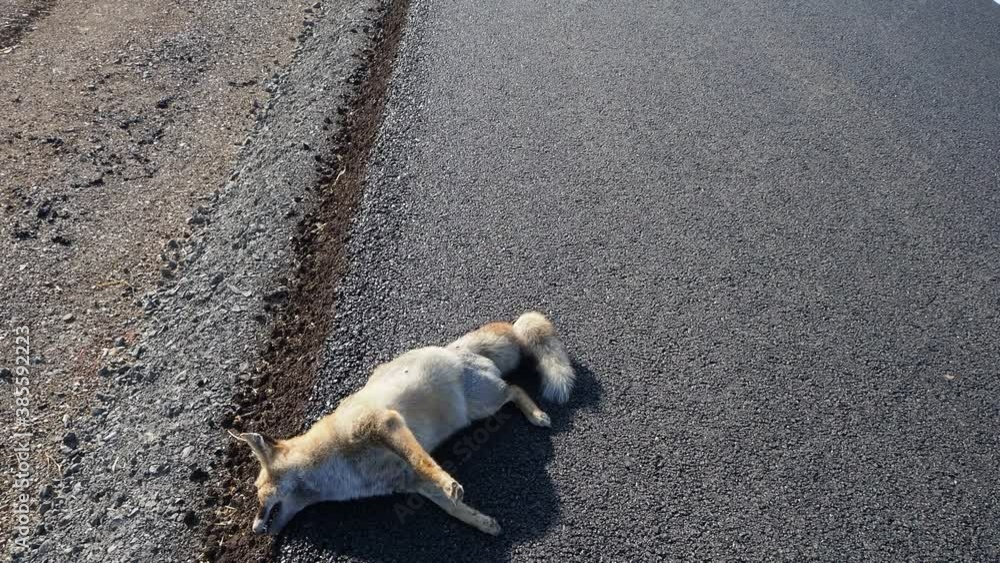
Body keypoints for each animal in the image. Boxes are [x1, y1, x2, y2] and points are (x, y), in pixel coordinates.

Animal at [230, 311, 575, 536]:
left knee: (516, 389)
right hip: (482, 405)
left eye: (258, 491)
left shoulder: (384, 423)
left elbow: (422, 459)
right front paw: (482, 522)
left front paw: (449, 482)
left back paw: (537, 415)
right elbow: (452, 509)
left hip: (484, 403)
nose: (255, 530)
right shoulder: (410, 482)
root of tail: (454, 348)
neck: (337, 469)